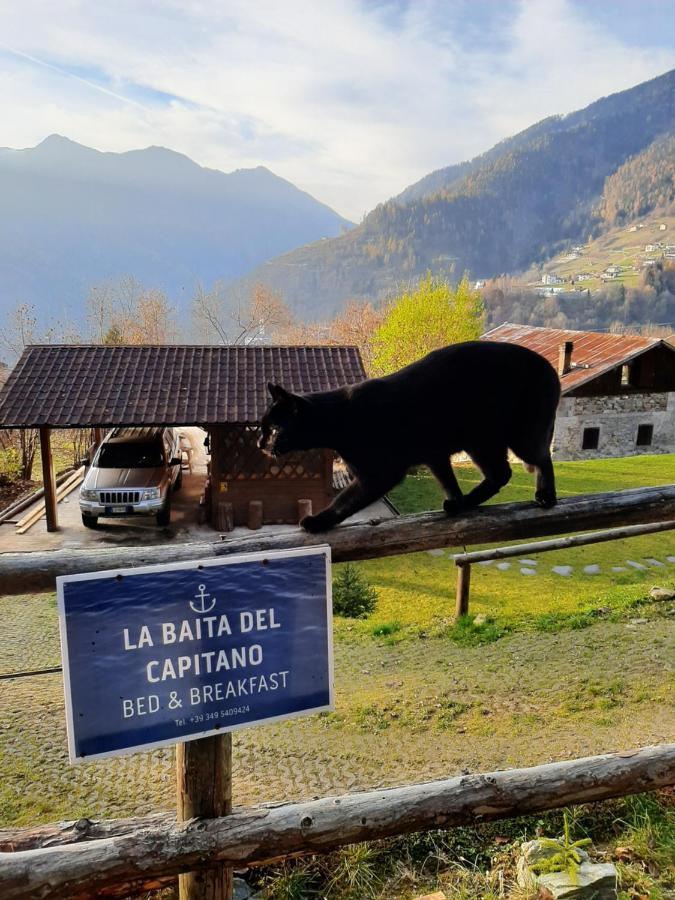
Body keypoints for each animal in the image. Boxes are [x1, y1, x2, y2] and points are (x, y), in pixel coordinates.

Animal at [258, 342, 560, 532]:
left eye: (273, 429)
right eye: (262, 428)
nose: (260, 443)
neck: (340, 418)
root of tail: (549, 367)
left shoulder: (380, 474)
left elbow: (343, 502)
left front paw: (318, 522)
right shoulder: (434, 454)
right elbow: (448, 481)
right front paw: (457, 501)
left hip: (512, 436)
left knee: (538, 460)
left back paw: (546, 496)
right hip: (483, 441)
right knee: (501, 473)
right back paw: (469, 501)